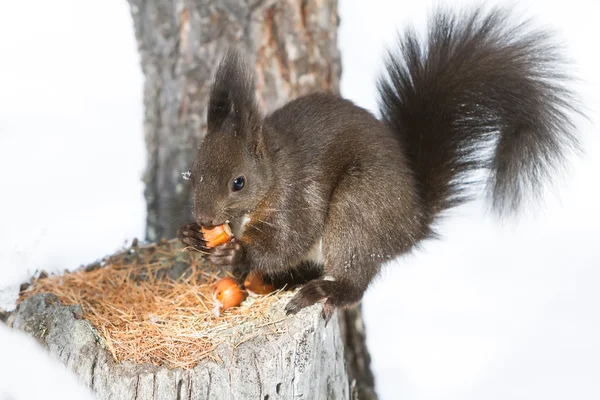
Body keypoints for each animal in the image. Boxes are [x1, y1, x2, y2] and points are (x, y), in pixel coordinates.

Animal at [178, 5, 580, 322]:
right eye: (193, 174)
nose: (205, 219)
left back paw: (325, 291)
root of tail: (412, 224)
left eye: (239, 182)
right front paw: (191, 236)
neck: (273, 173)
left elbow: (287, 241)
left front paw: (237, 252)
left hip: (358, 210)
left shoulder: (295, 199)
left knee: (355, 281)